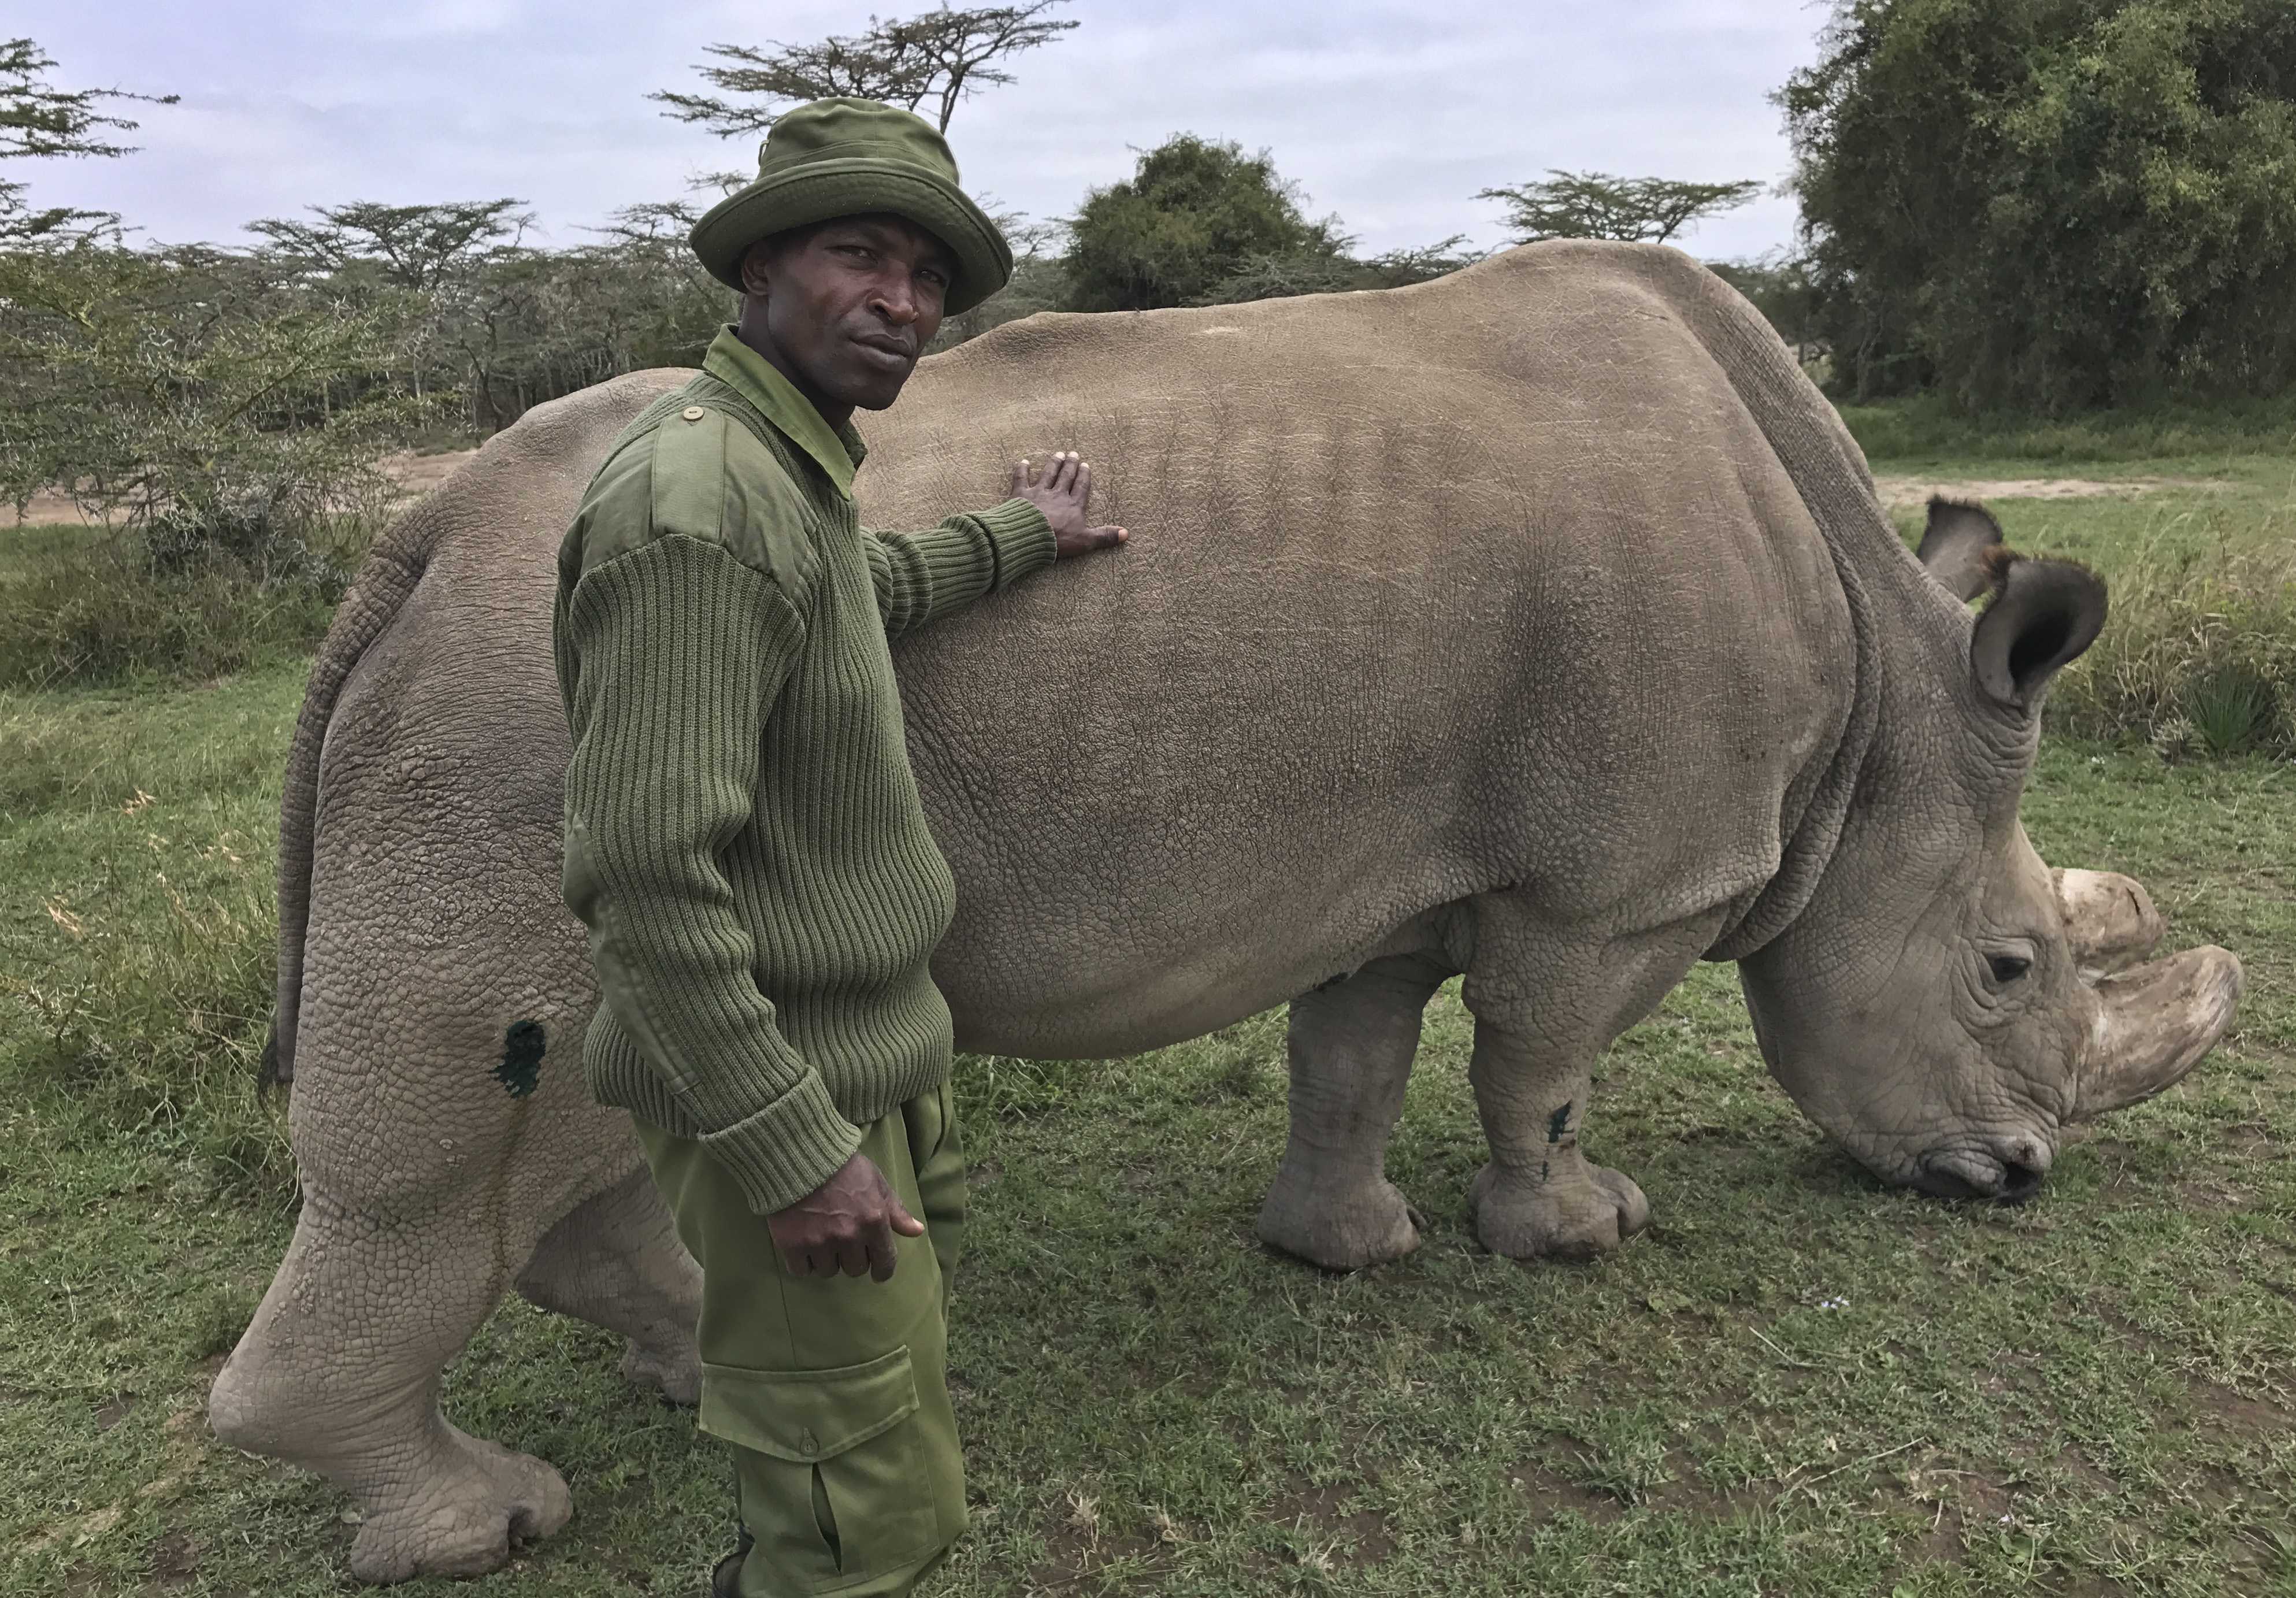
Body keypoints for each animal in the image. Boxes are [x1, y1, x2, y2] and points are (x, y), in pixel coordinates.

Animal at [209, 242, 2242, 1583]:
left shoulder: (1400, 853)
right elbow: (1543, 1062)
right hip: (520, 720)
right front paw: (1576, 1231)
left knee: (598, 1115)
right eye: (2006, 968)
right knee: (474, 1132)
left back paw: (706, 1355)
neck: (1883, 717)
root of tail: (413, 540)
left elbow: (1352, 1050)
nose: (2017, 1179)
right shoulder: (1617, 880)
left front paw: (1345, 1249)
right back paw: (490, 1519)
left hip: (514, 712)